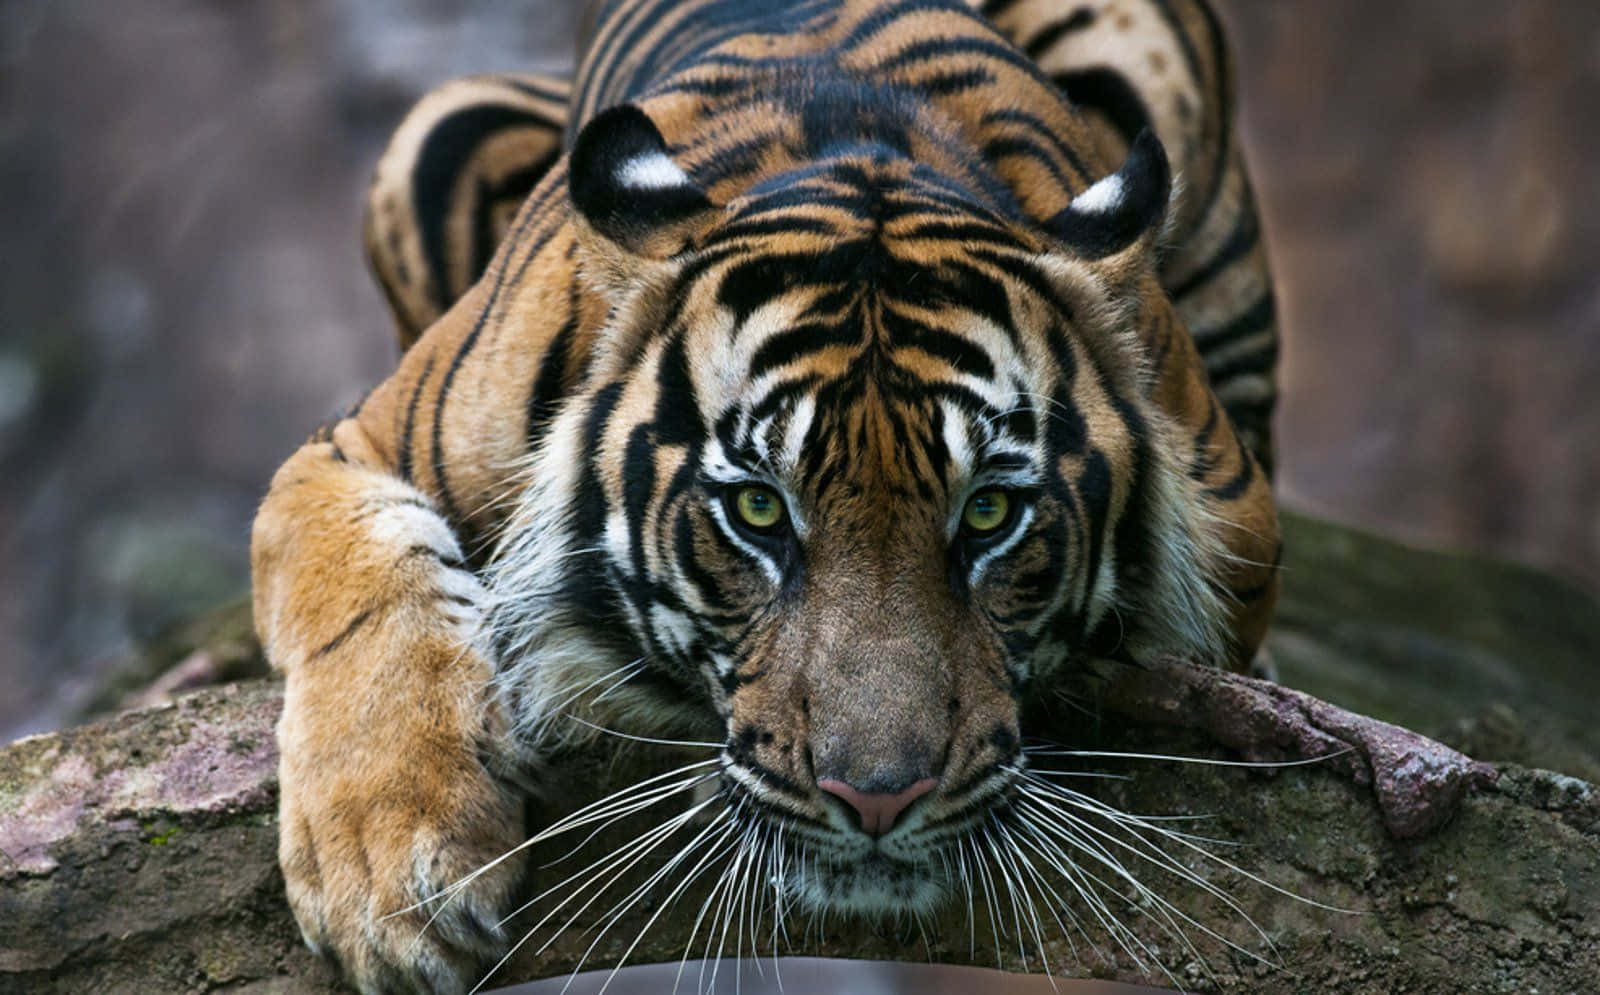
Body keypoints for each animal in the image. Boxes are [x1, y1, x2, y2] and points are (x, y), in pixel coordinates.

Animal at [250, 0, 1283, 991]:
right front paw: (397, 880)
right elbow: (364, 595)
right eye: (758, 510)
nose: (879, 795)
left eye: (990, 512)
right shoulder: (354, 442)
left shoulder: (1237, 520)